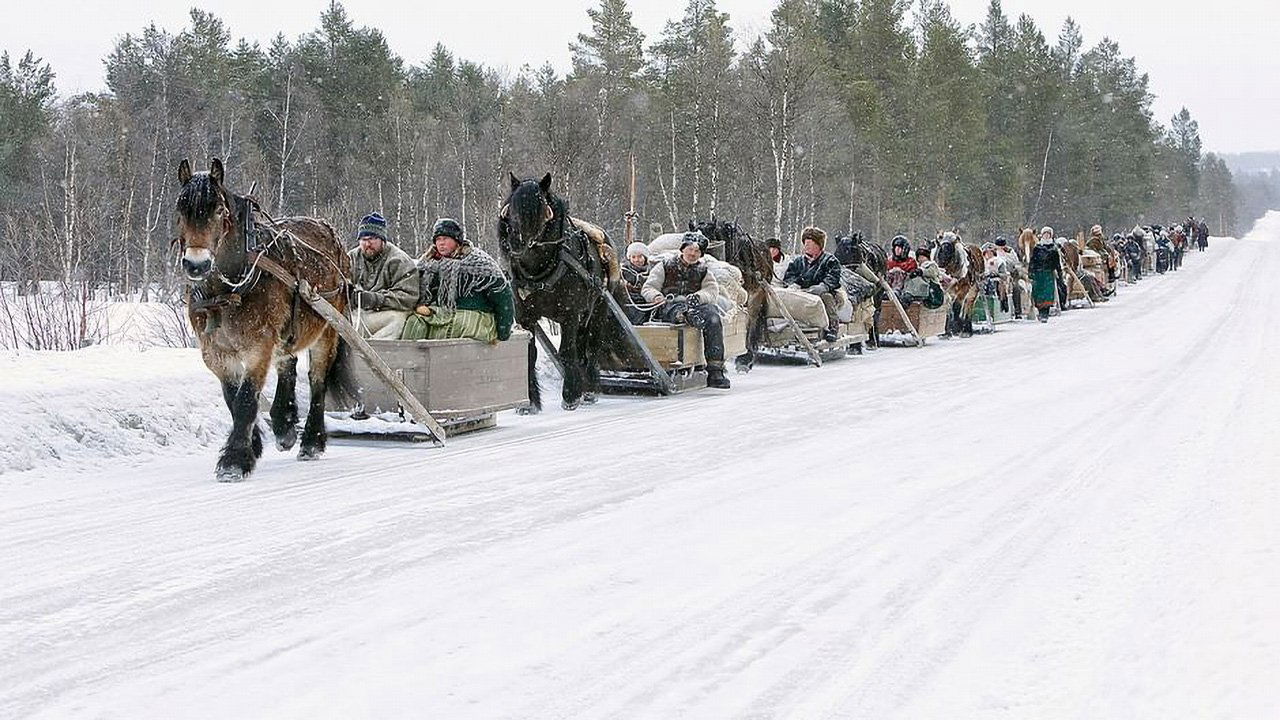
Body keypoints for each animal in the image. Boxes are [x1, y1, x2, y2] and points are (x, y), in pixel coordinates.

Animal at [174, 159, 350, 479]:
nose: (196, 264)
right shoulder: (215, 353)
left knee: (317, 380)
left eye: (219, 211)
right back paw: (284, 424)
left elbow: (245, 400)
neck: (228, 290)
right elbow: (233, 399)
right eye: (180, 210)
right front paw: (252, 445)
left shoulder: (258, 346)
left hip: (329, 327)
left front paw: (234, 460)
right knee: (287, 363)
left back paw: (311, 442)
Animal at [496, 170, 632, 412]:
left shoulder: (569, 314)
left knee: (591, 346)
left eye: (538, 209)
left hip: (598, 309)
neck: (539, 271)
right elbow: (530, 354)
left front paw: (570, 396)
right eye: (510, 208)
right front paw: (530, 402)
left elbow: (568, 352)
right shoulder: (526, 317)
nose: (515, 243)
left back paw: (589, 389)